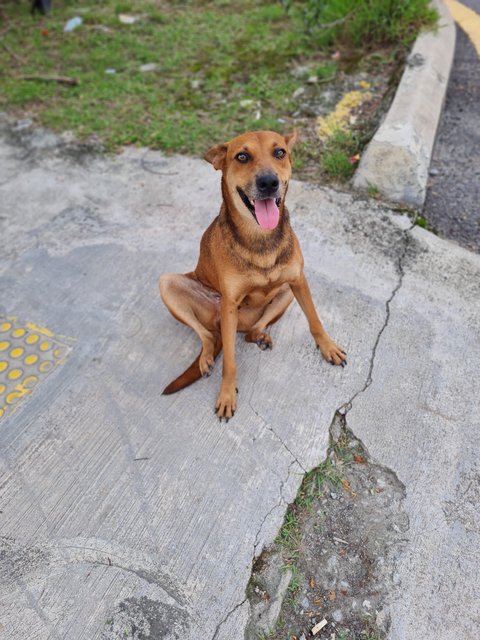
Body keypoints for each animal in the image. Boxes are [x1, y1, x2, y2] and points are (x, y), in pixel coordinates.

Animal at [160, 130, 344, 420]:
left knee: (251, 331)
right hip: (171, 285)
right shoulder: (230, 302)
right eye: (242, 157)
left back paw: (260, 337)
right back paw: (206, 357)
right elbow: (230, 362)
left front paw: (328, 347)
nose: (269, 182)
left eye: (280, 152)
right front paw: (226, 394)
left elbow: (315, 320)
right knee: (208, 336)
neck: (260, 237)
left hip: (284, 294)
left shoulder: (298, 281)